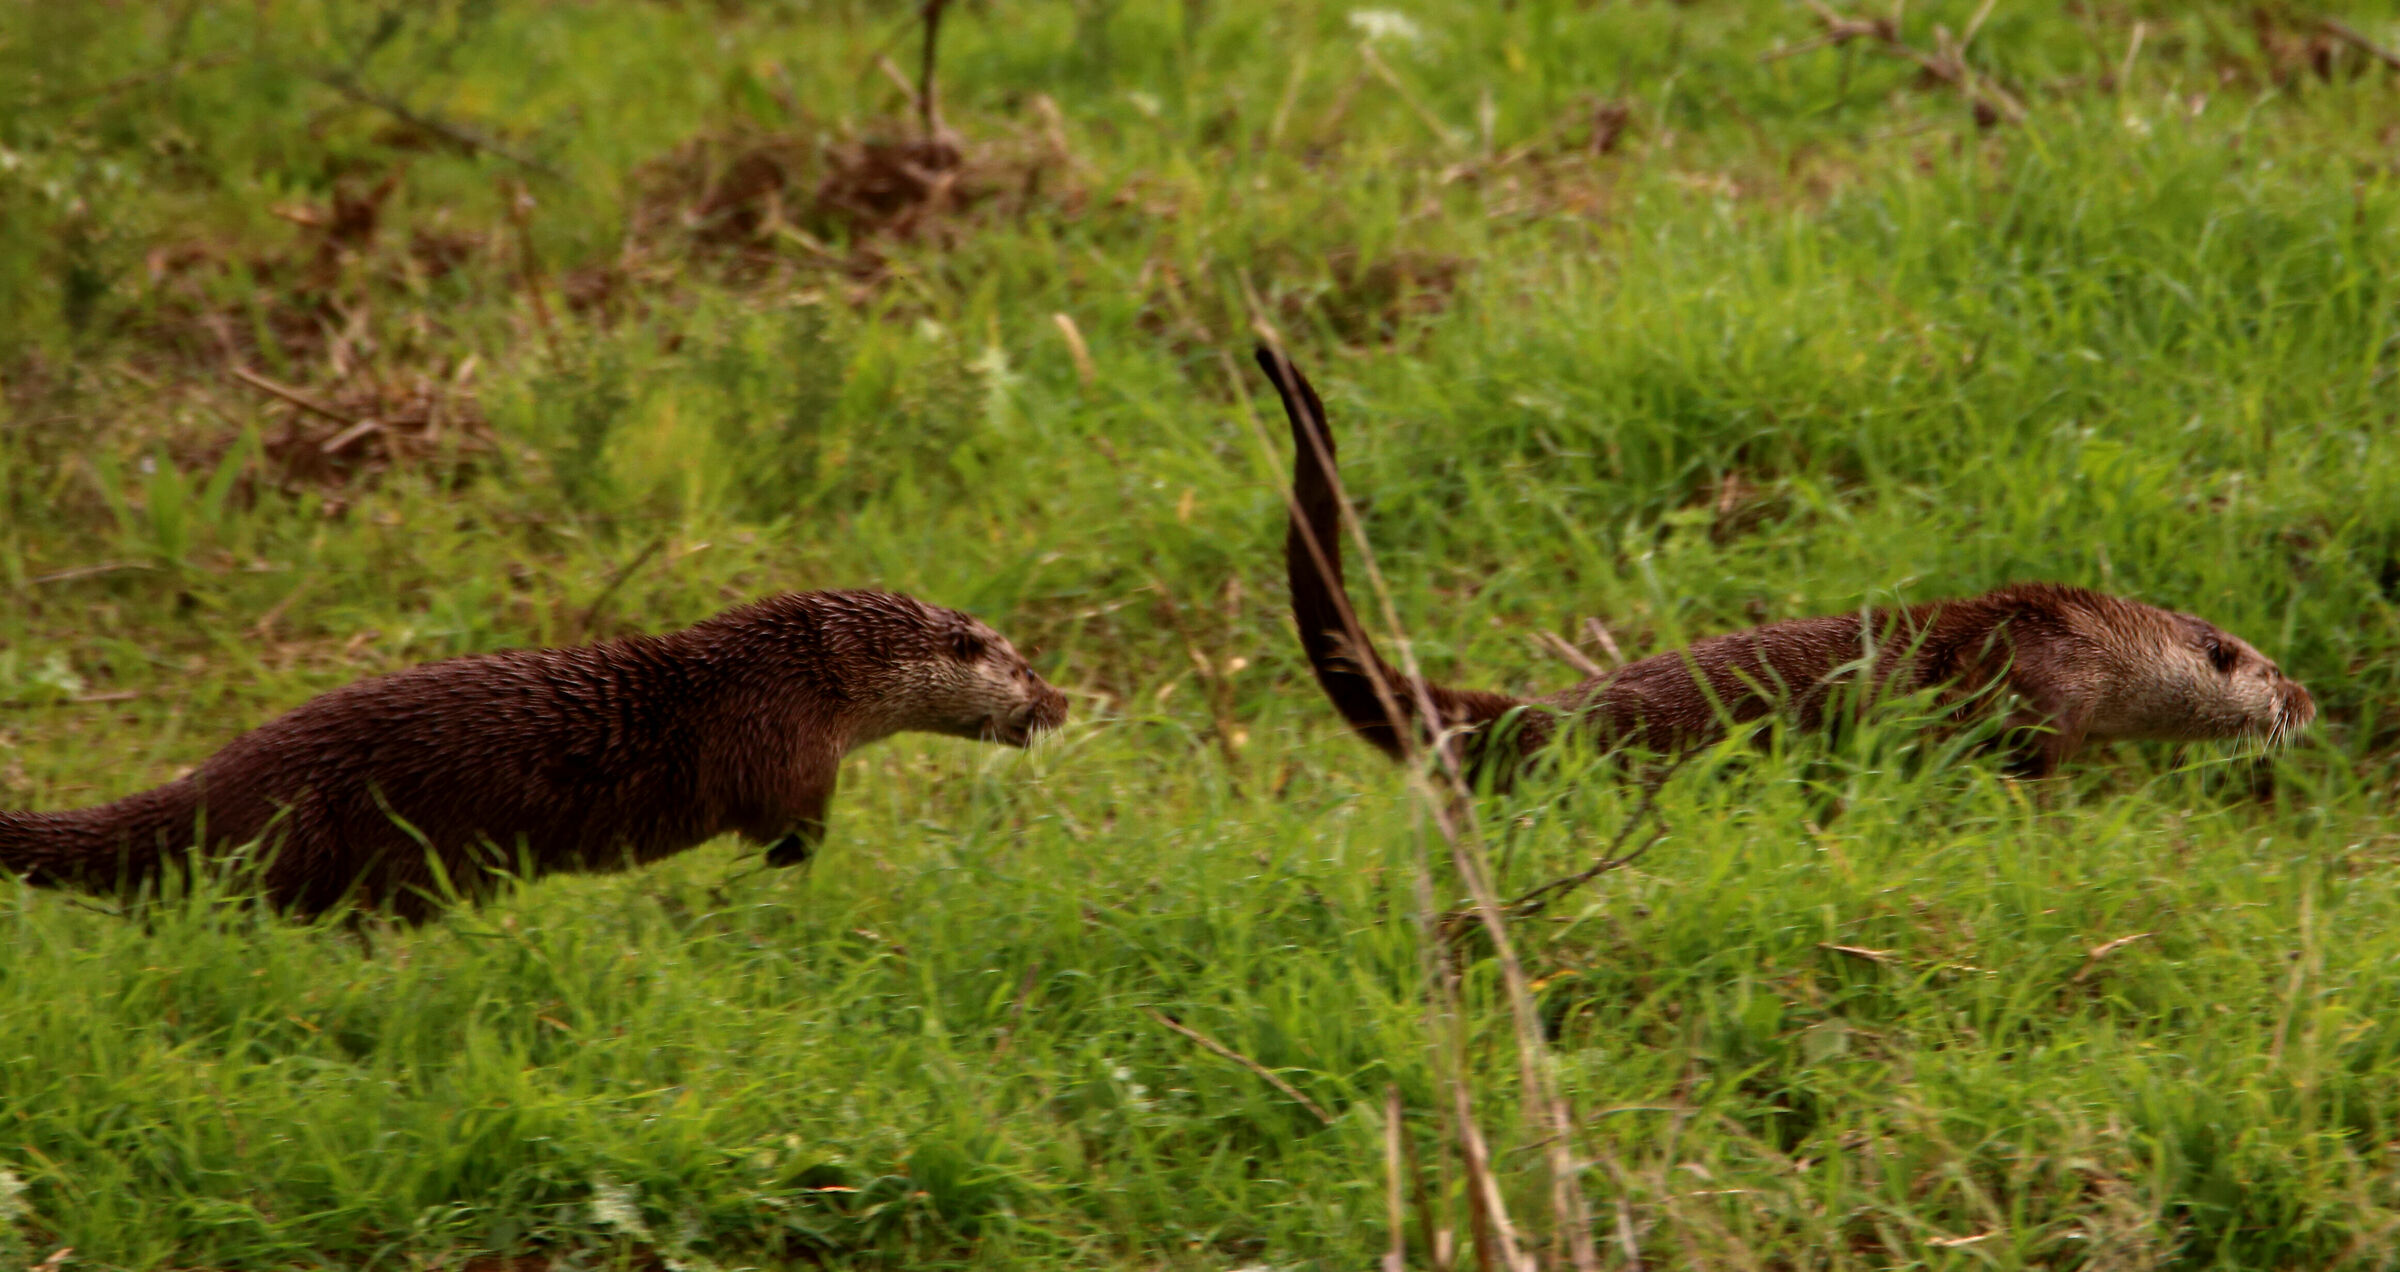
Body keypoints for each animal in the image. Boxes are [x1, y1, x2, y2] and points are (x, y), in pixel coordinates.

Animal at [0, 589, 1068, 920]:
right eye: (1023, 664)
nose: (1061, 702)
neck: (807, 676)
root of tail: (216, 778)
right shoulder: (788, 753)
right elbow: (790, 842)